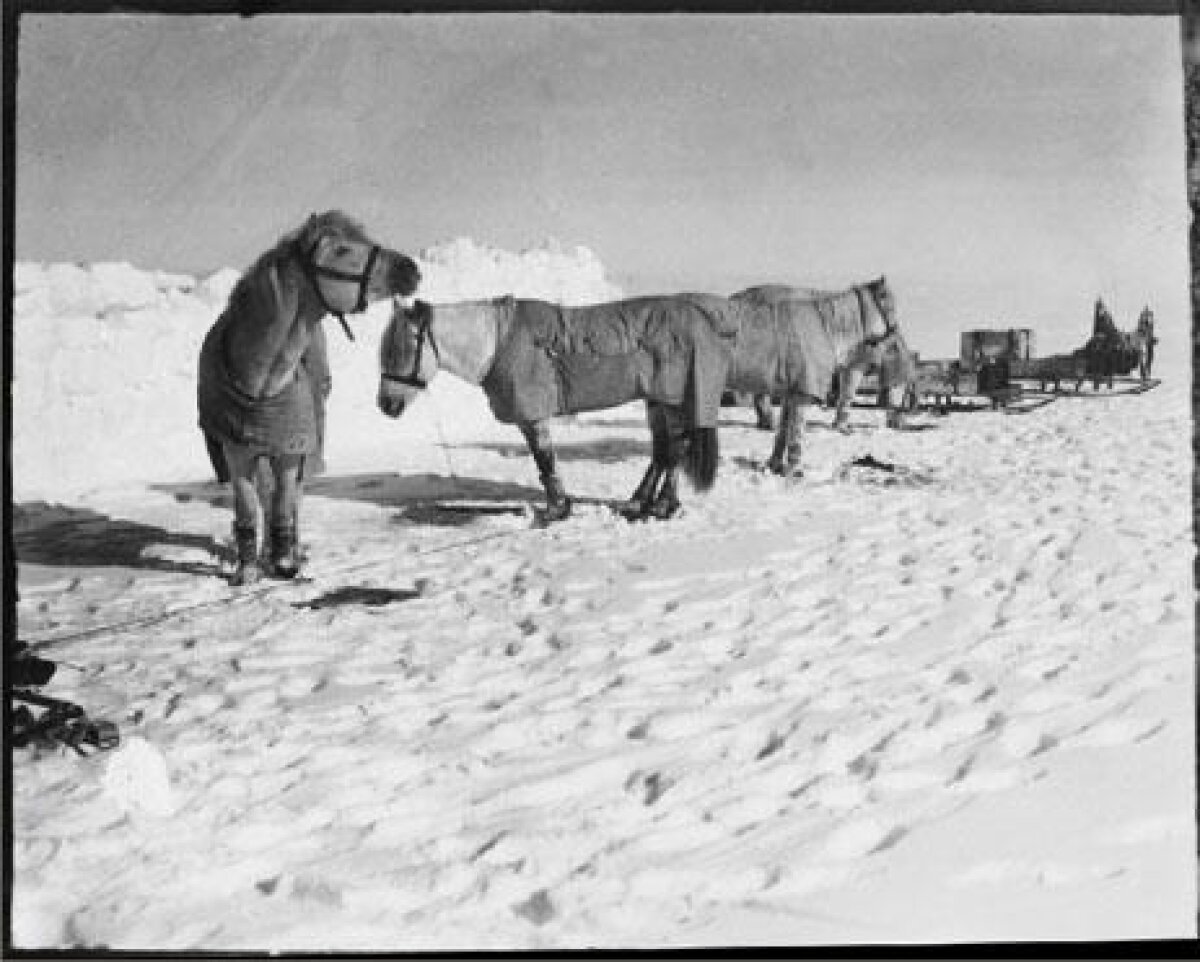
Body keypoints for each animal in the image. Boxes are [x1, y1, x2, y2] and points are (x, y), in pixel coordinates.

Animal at [196, 212, 422, 585]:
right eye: (341, 249)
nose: (411, 268)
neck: (262, 384)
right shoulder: (237, 452)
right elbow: (249, 506)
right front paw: (247, 569)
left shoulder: (292, 450)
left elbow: (284, 504)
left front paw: (285, 562)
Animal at [379, 292, 734, 520]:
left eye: (401, 349)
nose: (386, 405)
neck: (498, 343)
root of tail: (703, 320)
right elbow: (543, 460)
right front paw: (560, 505)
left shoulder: (532, 416)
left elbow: (544, 458)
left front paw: (556, 509)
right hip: (658, 401)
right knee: (662, 451)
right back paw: (639, 502)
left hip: (671, 400)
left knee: (674, 450)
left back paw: (663, 506)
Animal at [724, 275, 902, 475]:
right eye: (890, 305)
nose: (894, 331)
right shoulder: (848, 366)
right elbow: (843, 396)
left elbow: (786, 427)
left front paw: (775, 465)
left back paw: (767, 424)